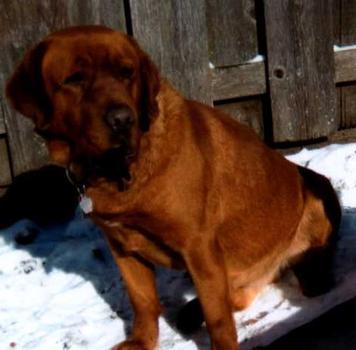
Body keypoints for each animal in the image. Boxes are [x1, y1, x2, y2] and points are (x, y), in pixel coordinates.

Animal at [4, 26, 340, 348]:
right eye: (74, 79)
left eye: (127, 73)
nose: (122, 119)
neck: (120, 171)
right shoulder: (122, 246)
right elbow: (142, 301)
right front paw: (142, 341)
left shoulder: (199, 247)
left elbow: (219, 321)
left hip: (313, 213)